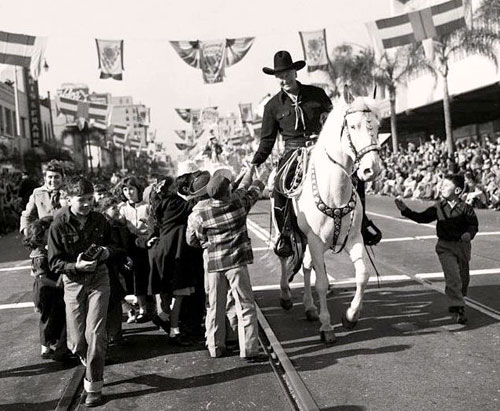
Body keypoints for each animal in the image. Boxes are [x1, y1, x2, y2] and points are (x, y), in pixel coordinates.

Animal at [278, 89, 382, 344]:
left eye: (377, 126)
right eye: (352, 126)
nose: (371, 169)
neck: (334, 192)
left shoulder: (354, 238)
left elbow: (362, 275)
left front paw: (350, 316)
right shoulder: (315, 242)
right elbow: (322, 283)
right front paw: (327, 327)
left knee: (305, 266)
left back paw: (309, 308)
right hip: (290, 233)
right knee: (285, 258)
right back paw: (286, 295)